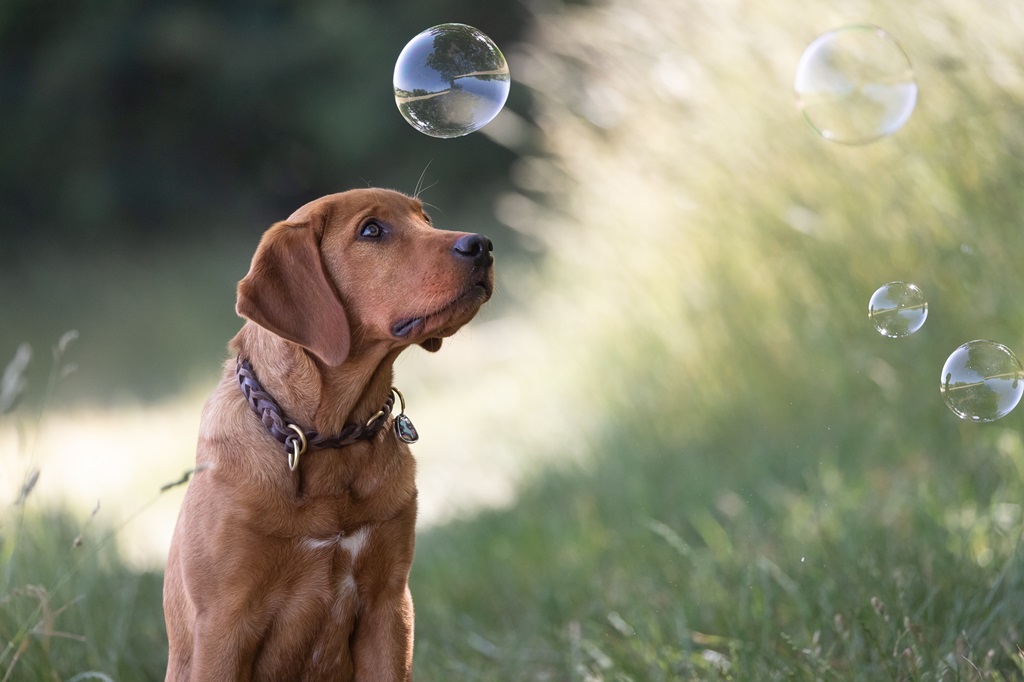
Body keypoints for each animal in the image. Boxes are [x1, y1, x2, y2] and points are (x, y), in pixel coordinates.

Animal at [161, 187, 493, 679]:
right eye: (372, 230)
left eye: (426, 219)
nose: (483, 245)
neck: (333, 439)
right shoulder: (222, 622)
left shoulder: (389, 605)